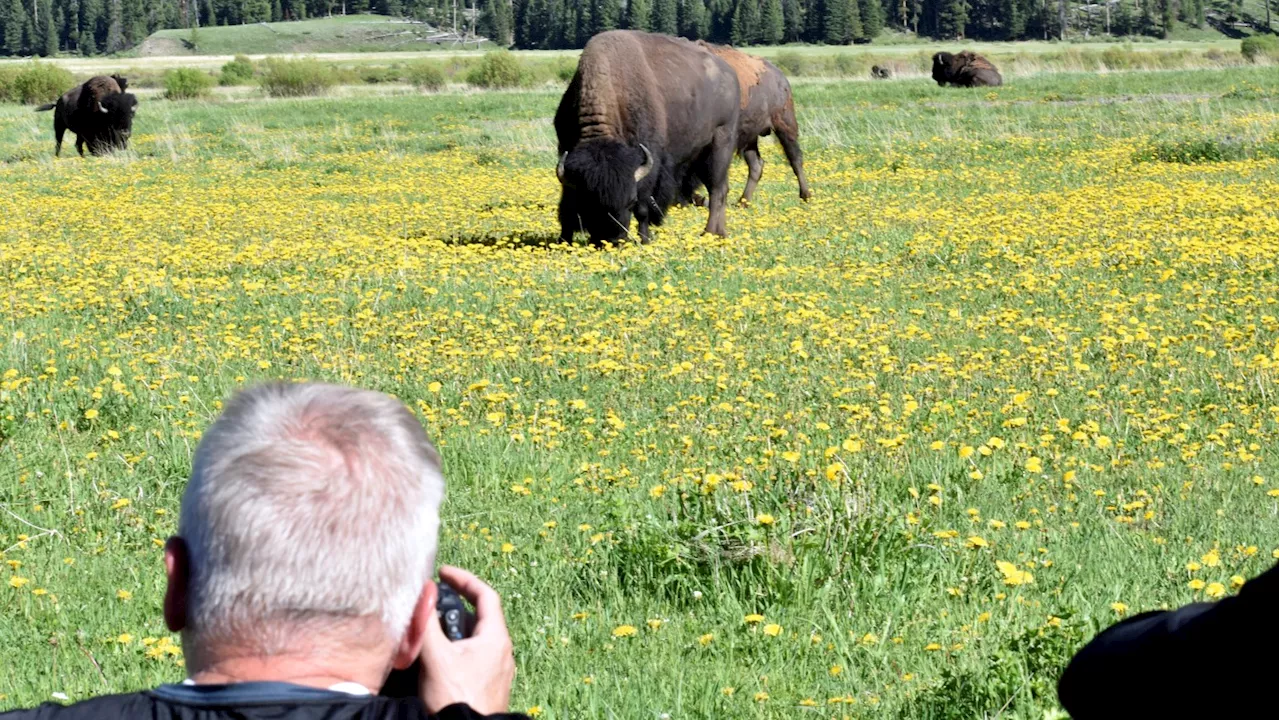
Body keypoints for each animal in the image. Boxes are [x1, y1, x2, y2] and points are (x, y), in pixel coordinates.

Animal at [550, 30, 742, 243]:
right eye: (590, 202)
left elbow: (643, 208)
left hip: (720, 145)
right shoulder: (567, 157)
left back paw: (710, 233)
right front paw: (563, 240)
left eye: (631, 200)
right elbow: (566, 206)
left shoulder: (648, 163)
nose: (614, 239)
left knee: (717, 190)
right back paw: (719, 232)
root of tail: (730, 73)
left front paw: (645, 239)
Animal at [680, 40, 808, 204]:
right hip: (749, 137)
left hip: (784, 125)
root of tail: (781, 78)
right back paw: (743, 202)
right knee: (756, 165)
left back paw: (805, 195)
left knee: (795, 158)